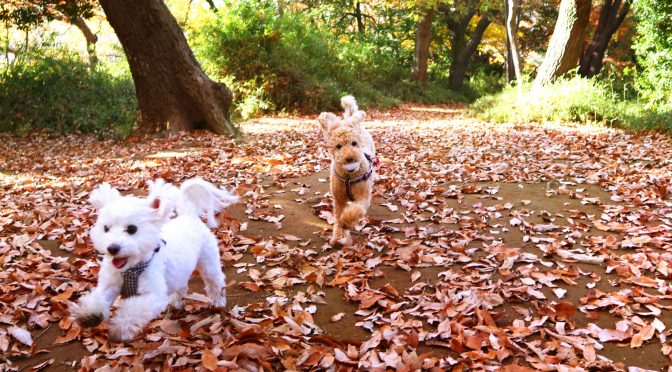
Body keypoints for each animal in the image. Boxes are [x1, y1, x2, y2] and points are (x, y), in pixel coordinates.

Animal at [75, 177, 238, 342]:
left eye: (132, 229)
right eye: (106, 228)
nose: (112, 248)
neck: (131, 269)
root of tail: (189, 215)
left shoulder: (153, 296)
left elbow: (133, 310)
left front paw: (119, 329)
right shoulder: (110, 285)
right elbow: (98, 298)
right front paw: (89, 315)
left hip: (208, 263)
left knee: (215, 281)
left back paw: (218, 301)